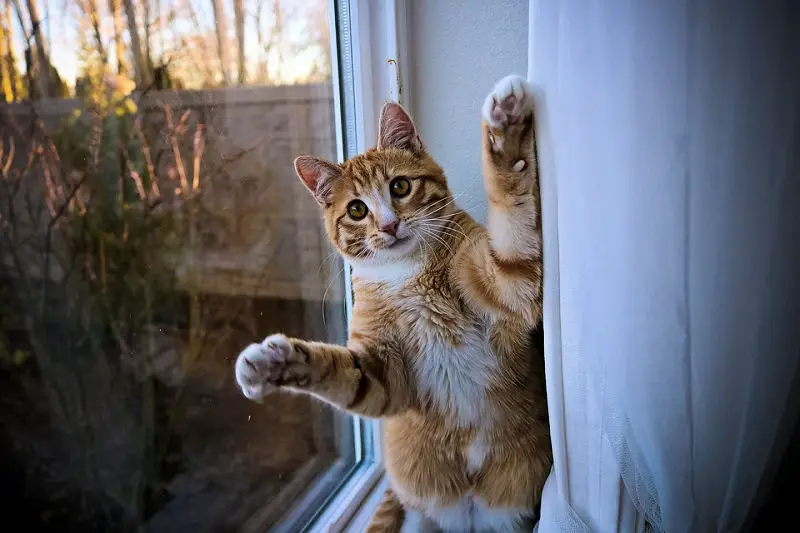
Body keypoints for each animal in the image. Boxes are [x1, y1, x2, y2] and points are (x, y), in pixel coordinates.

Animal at [234, 76, 552, 532]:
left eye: (400, 186)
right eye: (356, 209)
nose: (388, 225)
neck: (408, 275)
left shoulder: (511, 282)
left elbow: (513, 208)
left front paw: (506, 132)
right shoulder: (384, 375)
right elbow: (337, 370)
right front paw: (274, 363)